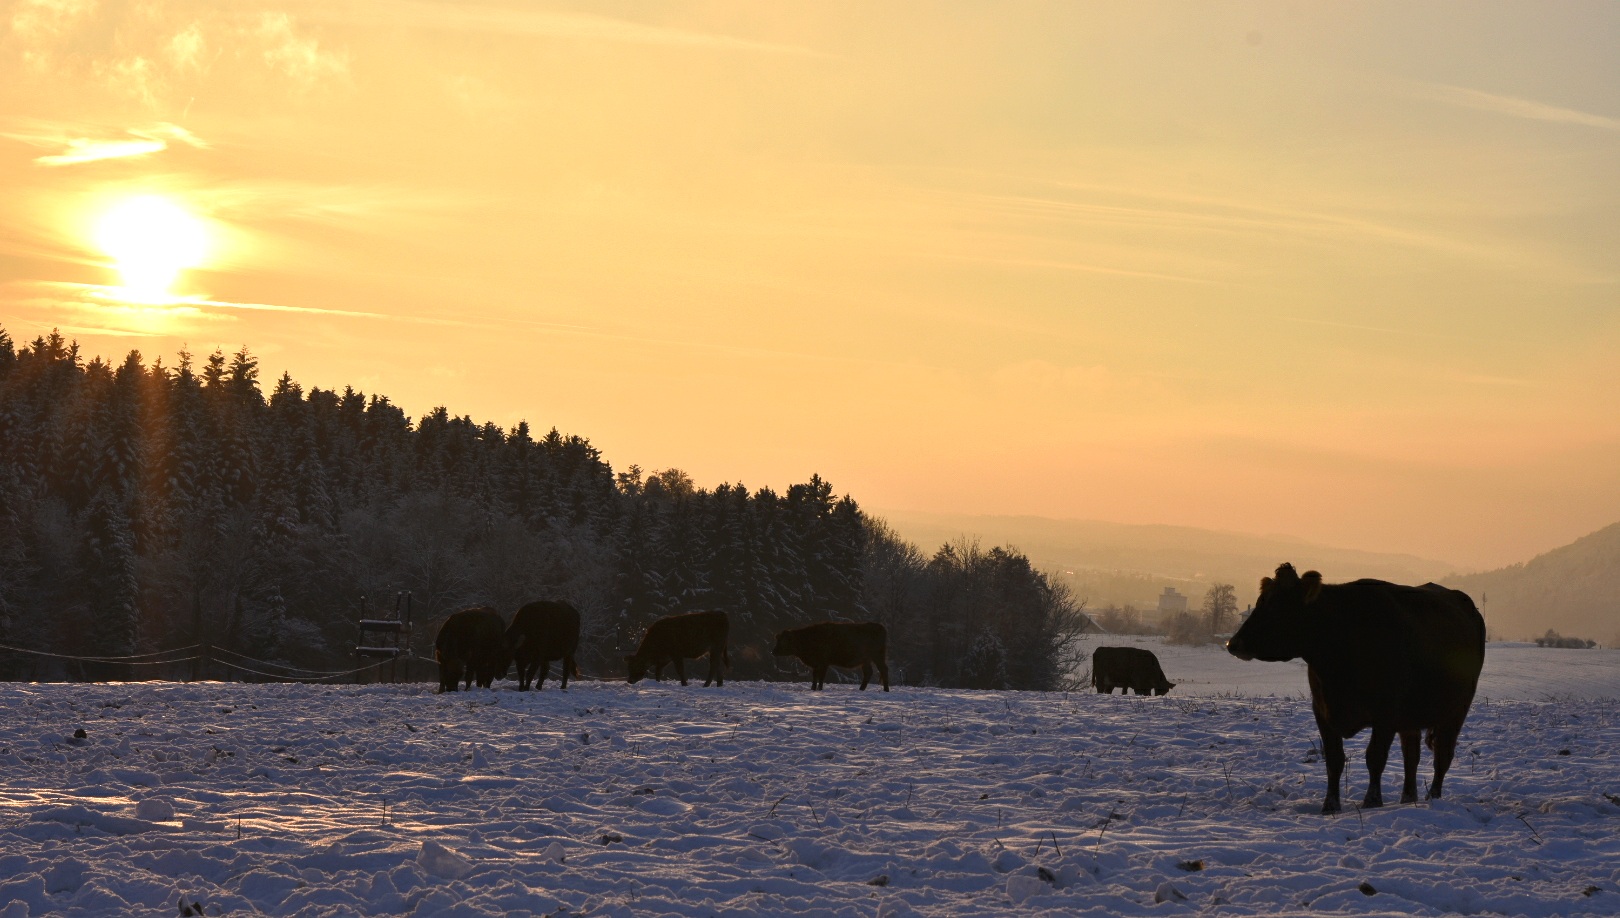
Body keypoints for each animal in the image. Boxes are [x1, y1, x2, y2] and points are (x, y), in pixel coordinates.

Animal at [1224, 563, 1483, 816]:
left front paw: (1372, 802)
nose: (1232, 643)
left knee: (1442, 755)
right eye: (1260, 601)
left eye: (1277, 605)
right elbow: (1334, 760)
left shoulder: (1386, 714)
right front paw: (1330, 806)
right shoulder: (1322, 710)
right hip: (1411, 716)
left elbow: (1375, 757)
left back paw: (1433, 798)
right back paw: (1408, 799)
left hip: (1456, 710)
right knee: (1411, 755)